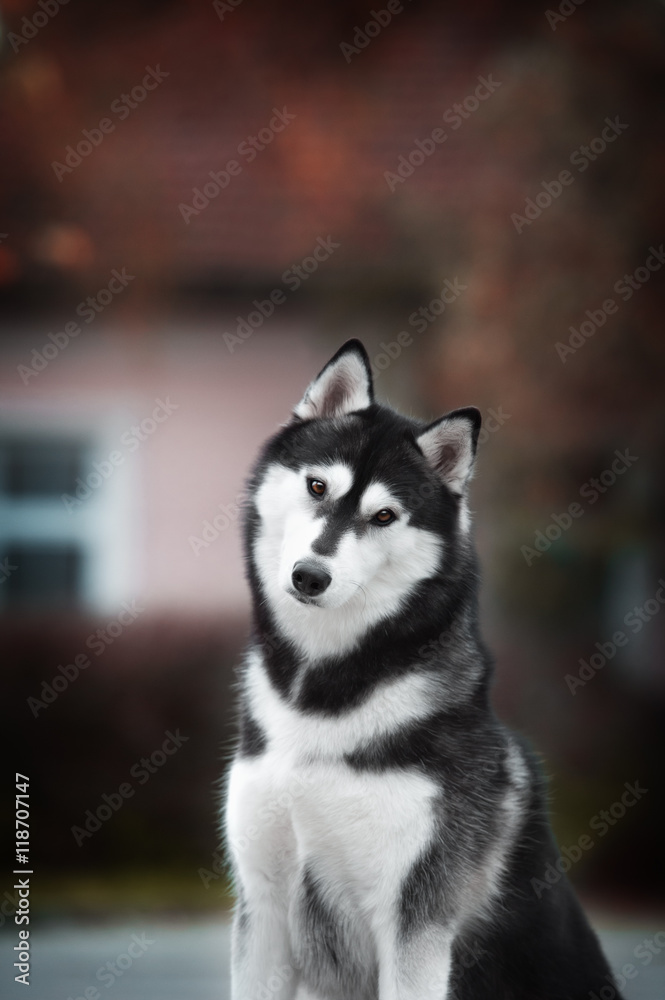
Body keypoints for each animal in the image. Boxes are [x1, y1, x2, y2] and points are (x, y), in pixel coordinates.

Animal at [224, 342, 624, 1000]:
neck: (322, 697)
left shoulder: (414, 920)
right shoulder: (264, 909)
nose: (310, 576)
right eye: (316, 486)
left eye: (385, 516)